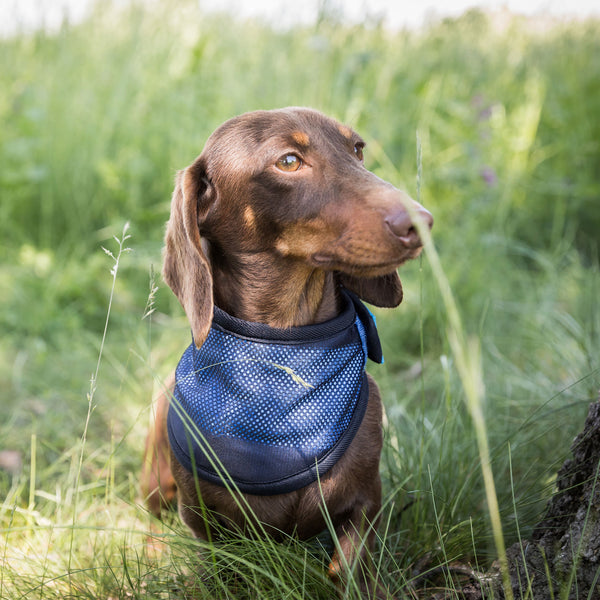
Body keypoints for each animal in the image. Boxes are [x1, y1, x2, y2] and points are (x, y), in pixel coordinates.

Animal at [141, 106, 432, 596]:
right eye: (289, 162)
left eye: (357, 148)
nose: (422, 222)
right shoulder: (204, 523)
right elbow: (217, 570)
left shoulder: (365, 501)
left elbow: (348, 567)